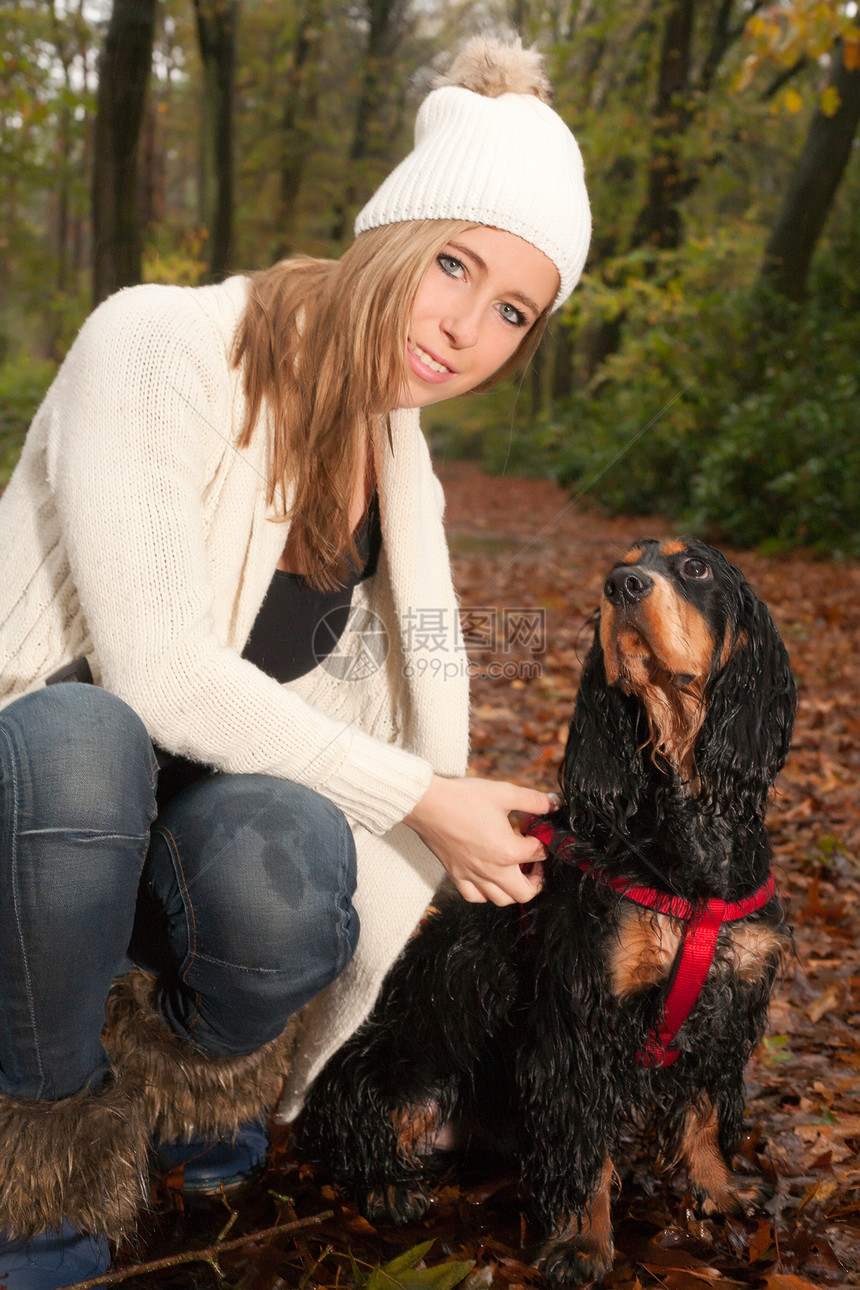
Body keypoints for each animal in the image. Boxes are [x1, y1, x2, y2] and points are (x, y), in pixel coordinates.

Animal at [299, 539, 799, 1284]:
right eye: (622, 564)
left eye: (695, 569)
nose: (623, 586)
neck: (688, 824)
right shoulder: (580, 1015)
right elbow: (584, 1139)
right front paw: (580, 1244)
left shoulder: (731, 1000)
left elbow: (707, 1111)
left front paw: (718, 1191)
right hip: (407, 1067)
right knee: (357, 1134)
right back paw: (389, 1188)